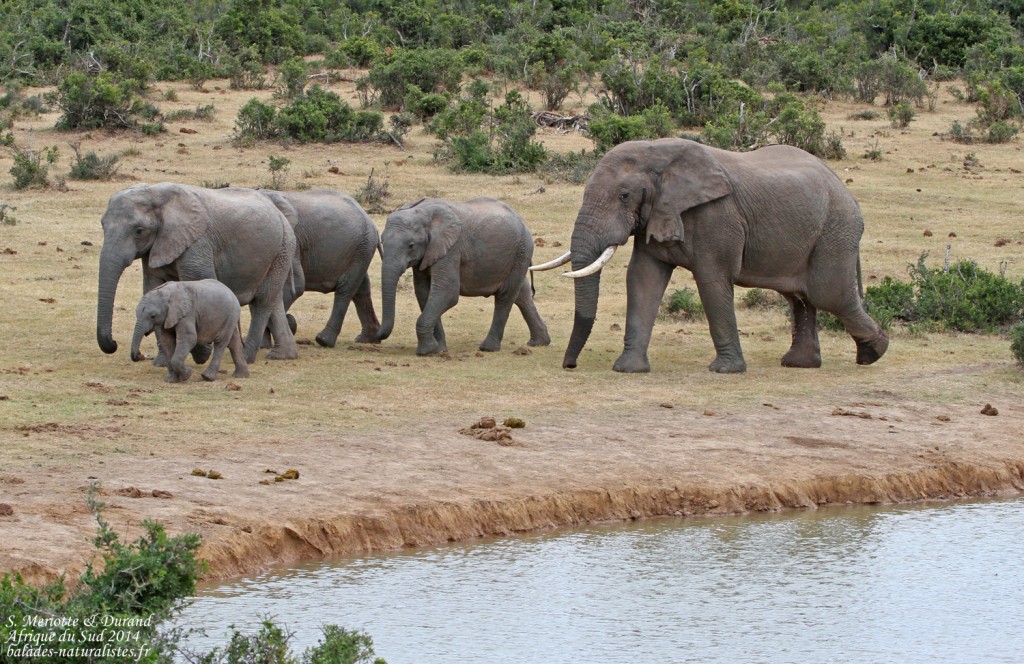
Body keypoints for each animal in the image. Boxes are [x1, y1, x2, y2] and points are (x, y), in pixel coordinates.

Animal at [96, 183, 298, 364]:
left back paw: (247, 357)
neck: (155, 192)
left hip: (283, 247)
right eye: (102, 225)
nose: (114, 344)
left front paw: (201, 354)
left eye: (139, 231)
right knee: (274, 299)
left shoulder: (197, 243)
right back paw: (282, 355)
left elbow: (199, 281)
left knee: (263, 300)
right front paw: (162, 362)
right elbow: (153, 287)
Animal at [258, 189, 381, 347]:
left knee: (345, 289)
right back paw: (367, 338)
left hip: (363, 247)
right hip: (361, 250)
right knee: (361, 288)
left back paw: (324, 340)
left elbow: (294, 286)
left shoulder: (293, 240)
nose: (292, 322)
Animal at [373, 196, 550, 355]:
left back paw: (488, 348)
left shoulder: (450, 249)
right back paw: (539, 343)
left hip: (521, 251)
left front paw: (426, 351)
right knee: (522, 293)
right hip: (517, 256)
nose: (376, 336)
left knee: (505, 296)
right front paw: (439, 350)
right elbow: (424, 294)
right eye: (382, 242)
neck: (422, 212)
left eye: (411, 245)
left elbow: (447, 292)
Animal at [532, 138, 889, 373]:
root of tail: (846, 191)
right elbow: (643, 278)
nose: (569, 366)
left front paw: (725, 371)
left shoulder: (717, 217)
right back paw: (800, 365)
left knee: (829, 294)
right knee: (800, 298)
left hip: (835, 230)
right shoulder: (657, 214)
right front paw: (628, 369)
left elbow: (711, 279)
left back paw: (874, 353)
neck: (658, 153)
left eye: (624, 196)